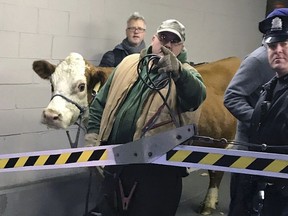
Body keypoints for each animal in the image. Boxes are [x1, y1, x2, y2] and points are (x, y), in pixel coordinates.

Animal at [31, 52, 240, 216]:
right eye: (52, 83)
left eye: (81, 86)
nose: (50, 115)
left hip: (225, 142)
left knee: (216, 173)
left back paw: (209, 203)